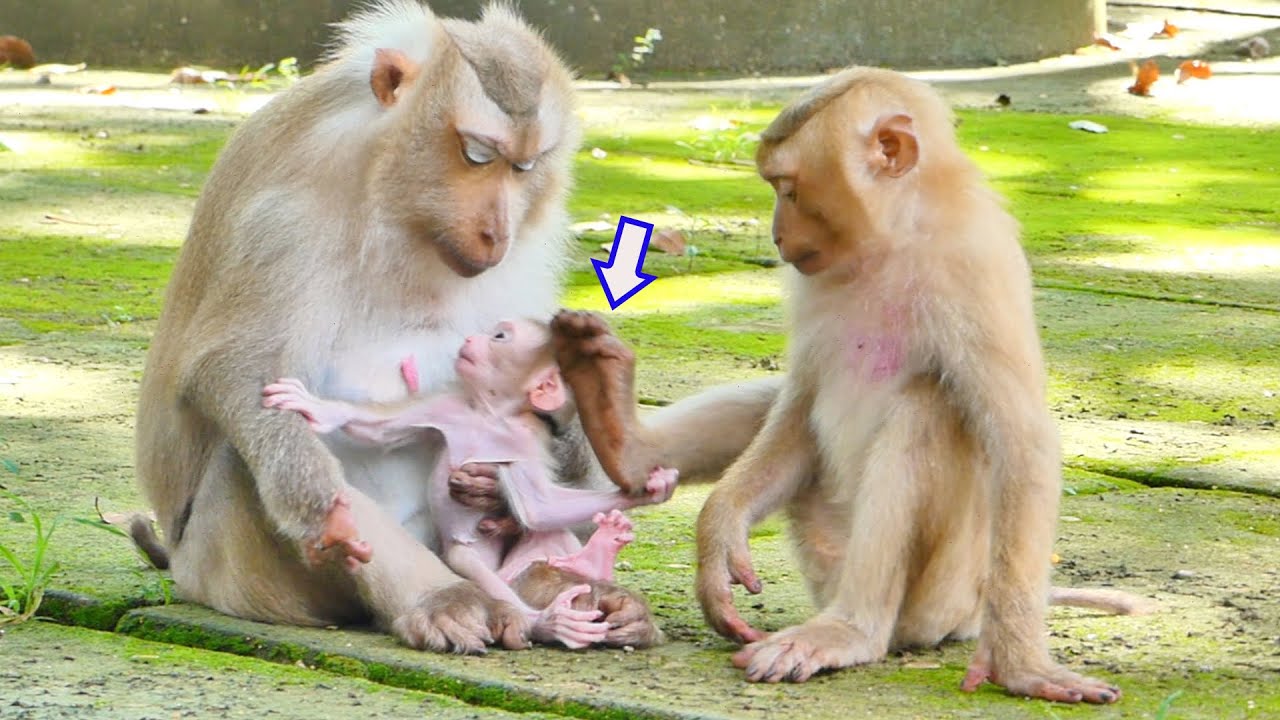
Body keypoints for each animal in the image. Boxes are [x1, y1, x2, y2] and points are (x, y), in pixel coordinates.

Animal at [260, 318, 678, 647]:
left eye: (500, 336)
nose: (472, 338)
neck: (491, 416)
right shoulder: (448, 408)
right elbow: (377, 430)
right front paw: (318, 409)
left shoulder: (522, 447)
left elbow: (539, 510)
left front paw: (646, 490)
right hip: (476, 559)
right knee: (474, 565)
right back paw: (548, 618)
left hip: (517, 563)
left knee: (545, 537)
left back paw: (592, 561)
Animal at [550, 71, 1139, 702]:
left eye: (787, 188)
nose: (776, 234)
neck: (894, 241)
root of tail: (970, 608)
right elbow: (800, 401)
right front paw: (719, 532)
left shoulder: (975, 270)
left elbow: (1021, 442)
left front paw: (1023, 665)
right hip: (821, 547)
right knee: (775, 407)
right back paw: (620, 434)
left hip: (939, 596)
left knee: (928, 408)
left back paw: (852, 629)